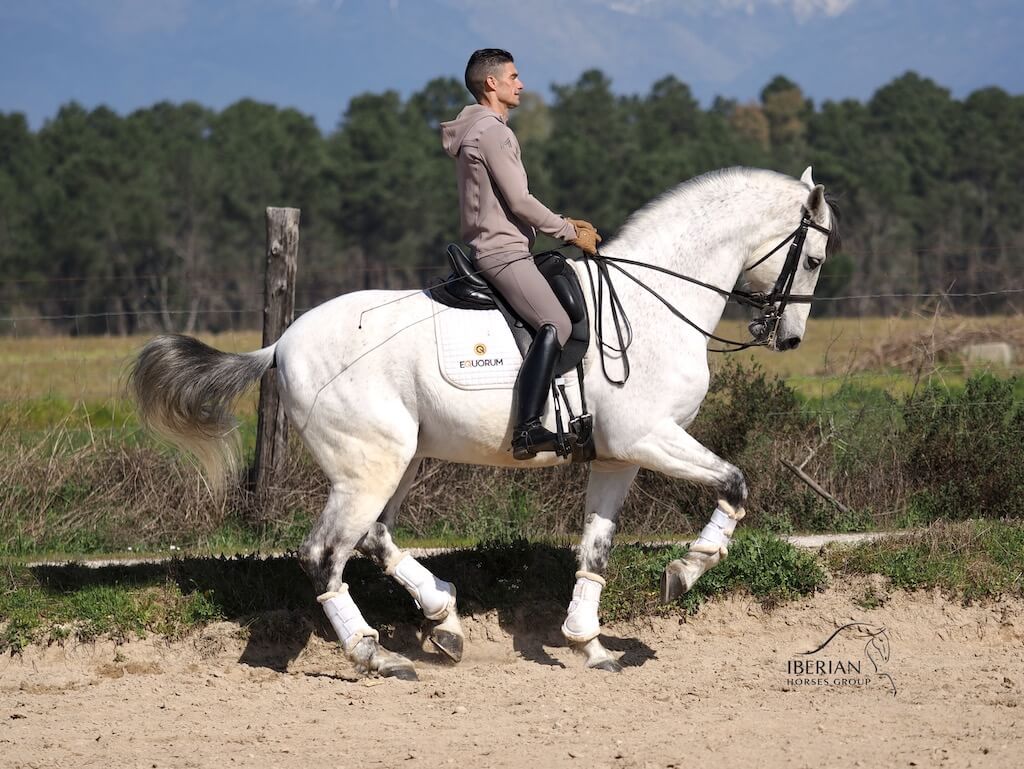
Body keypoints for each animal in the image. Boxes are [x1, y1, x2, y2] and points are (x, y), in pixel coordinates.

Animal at [131, 166, 839, 679]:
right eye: (812, 260)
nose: (790, 338)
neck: (652, 305)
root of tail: (280, 345)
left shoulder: (617, 456)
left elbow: (596, 549)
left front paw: (589, 645)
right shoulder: (649, 438)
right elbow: (734, 483)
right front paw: (686, 571)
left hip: (401, 459)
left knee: (376, 538)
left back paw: (443, 618)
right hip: (369, 466)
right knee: (325, 555)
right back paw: (375, 654)